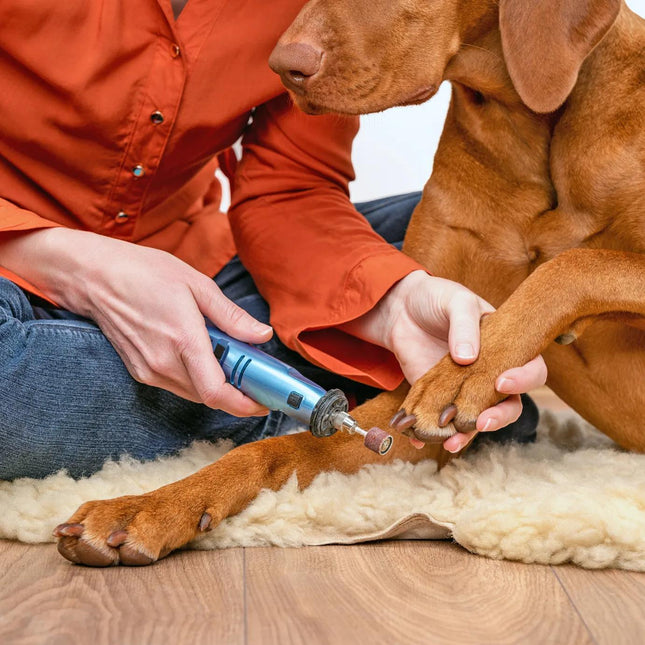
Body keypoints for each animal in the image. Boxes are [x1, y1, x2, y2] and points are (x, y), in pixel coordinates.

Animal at [55, 0, 644, 564]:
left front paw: (468, 370)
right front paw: (147, 505)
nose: (281, 66)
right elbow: (282, 448)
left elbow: (575, 263)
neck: (532, 127)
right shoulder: (406, 414)